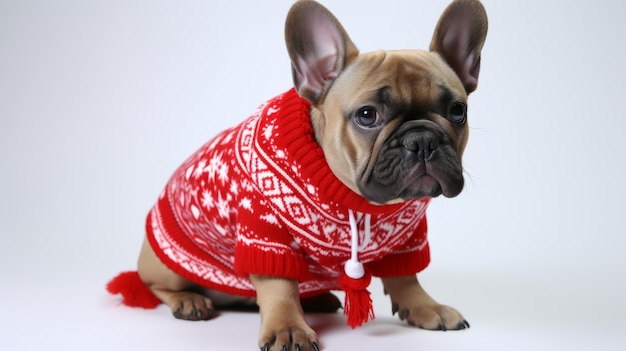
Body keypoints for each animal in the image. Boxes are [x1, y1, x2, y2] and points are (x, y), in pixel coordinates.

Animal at [108, 1, 488, 350]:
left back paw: (316, 298)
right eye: (367, 115)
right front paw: (288, 328)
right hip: (167, 268)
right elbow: (279, 287)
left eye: (458, 111)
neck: (355, 198)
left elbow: (407, 276)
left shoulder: (410, 237)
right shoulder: (264, 233)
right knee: (156, 287)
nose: (422, 139)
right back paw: (189, 300)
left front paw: (426, 307)